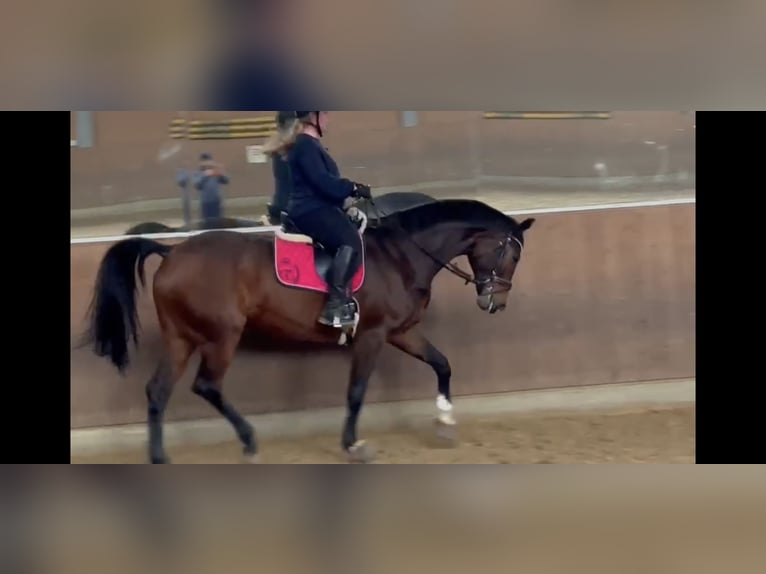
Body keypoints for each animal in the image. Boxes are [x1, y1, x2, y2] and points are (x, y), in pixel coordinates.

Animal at [84, 198, 536, 464]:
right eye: (511, 254)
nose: (495, 303)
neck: (402, 255)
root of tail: (172, 251)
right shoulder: (372, 335)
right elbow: (356, 392)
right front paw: (353, 445)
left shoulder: (401, 332)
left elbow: (442, 365)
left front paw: (445, 424)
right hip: (221, 335)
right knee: (206, 385)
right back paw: (249, 441)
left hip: (182, 336)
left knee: (159, 390)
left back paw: (160, 457)